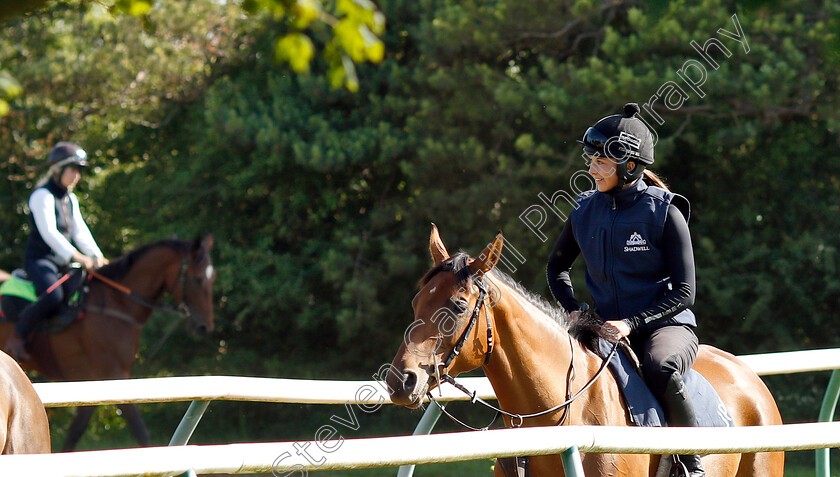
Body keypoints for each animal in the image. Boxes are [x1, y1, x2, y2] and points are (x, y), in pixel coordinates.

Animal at [0, 234, 218, 450]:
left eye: (212, 278)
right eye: (198, 279)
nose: (205, 326)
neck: (116, 305)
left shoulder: (93, 381)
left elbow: (75, 432)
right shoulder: (113, 374)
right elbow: (140, 431)